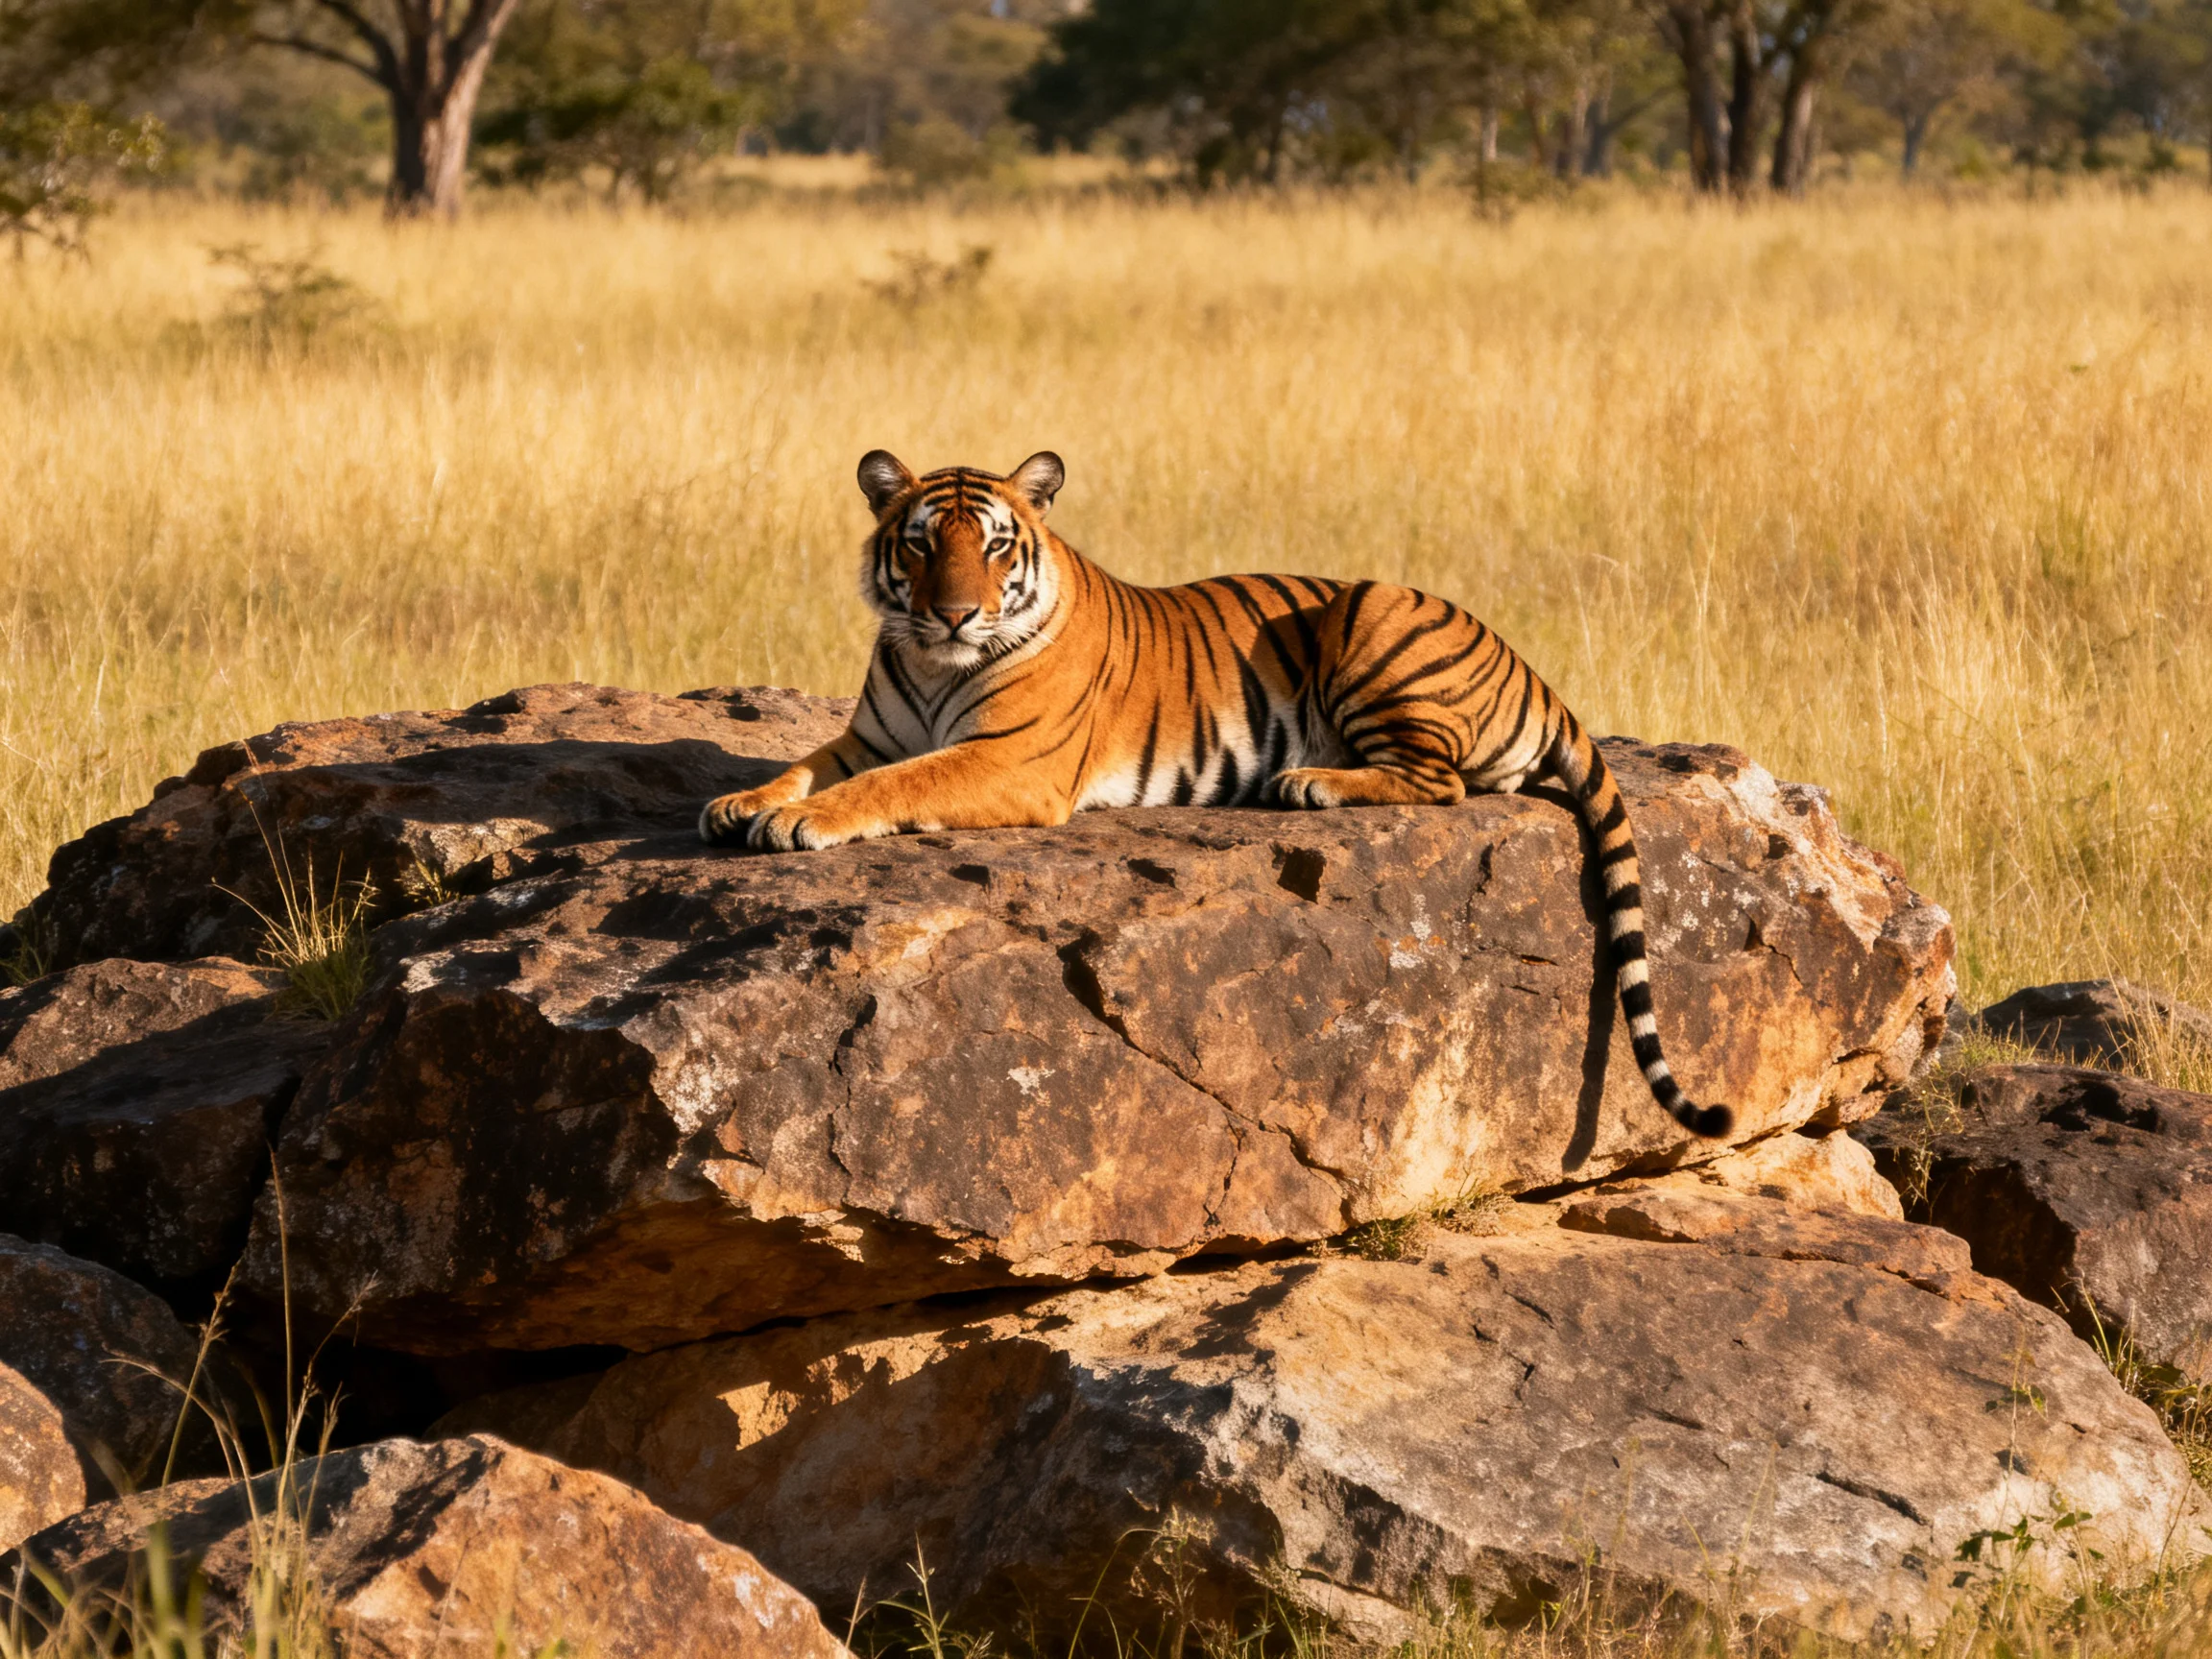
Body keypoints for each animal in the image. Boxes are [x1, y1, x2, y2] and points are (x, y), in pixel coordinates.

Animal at [700, 450, 1734, 1139]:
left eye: (993, 549)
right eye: (918, 547)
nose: (955, 613)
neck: (927, 660)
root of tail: (1533, 670)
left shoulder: (1010, 759)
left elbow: (894, 782)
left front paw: (796, 820)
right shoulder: (869, 733)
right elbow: (810, 761)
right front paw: (743, 802)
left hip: (1370, 611)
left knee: (1438, 778)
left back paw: (1305, 781)